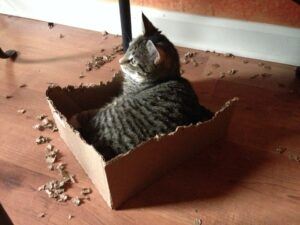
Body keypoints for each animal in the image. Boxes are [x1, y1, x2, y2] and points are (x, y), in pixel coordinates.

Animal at [72, 13, 213, 160]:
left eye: (133, 61)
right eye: (128, 47)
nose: (120, 61)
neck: (170, 76)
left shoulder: (120, 98)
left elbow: (94, 109)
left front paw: (80, 115)